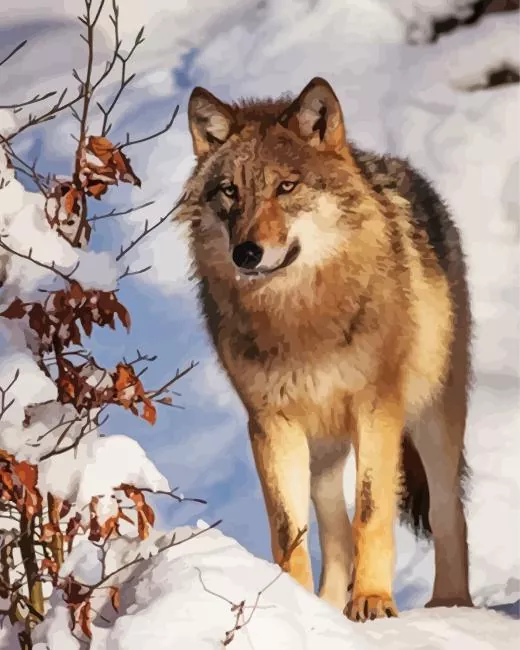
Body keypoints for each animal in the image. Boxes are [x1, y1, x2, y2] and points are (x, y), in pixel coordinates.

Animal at [177, 77, 474, 621]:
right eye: (231, 191)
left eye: (286, 187)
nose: (245, 253)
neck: (300, 318)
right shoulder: (270, 424)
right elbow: (289, 532)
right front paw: (292, 605)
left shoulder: (378, 411)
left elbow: (372, 515)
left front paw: (374, 601)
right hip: (323, 452)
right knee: (334, 532)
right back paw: (329, 604)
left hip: (432, 422)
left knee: (449, 513)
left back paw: (451, 606)